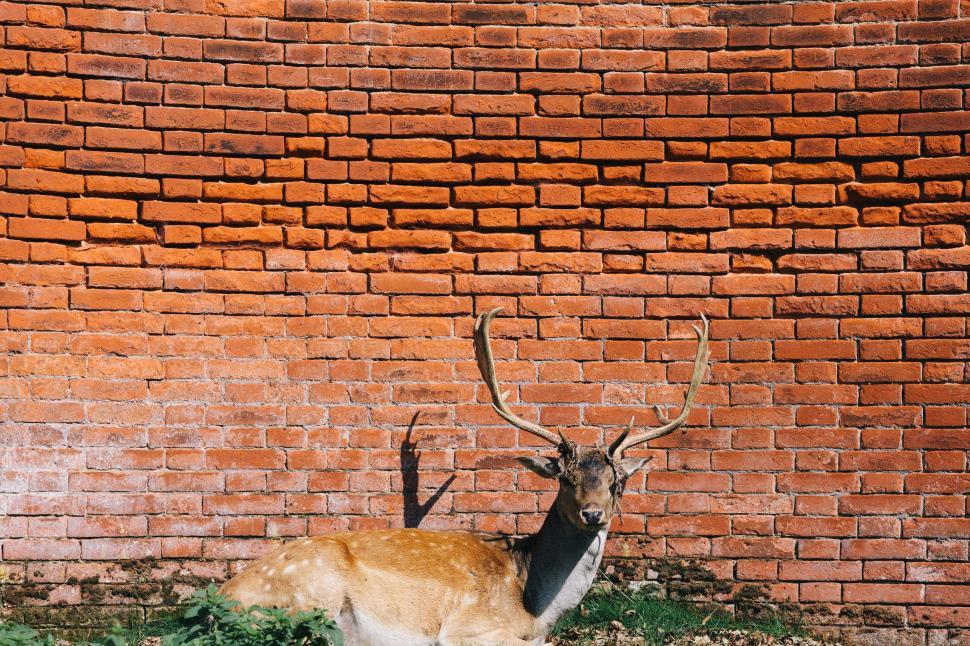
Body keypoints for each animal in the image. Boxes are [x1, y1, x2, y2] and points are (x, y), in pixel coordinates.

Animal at [219, 308, 711, 645]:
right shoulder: (468, 628)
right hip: (311, 597)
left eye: (617, 483)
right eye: (565, 479)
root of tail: (223, 597)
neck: (533, 609)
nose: (593, 514)